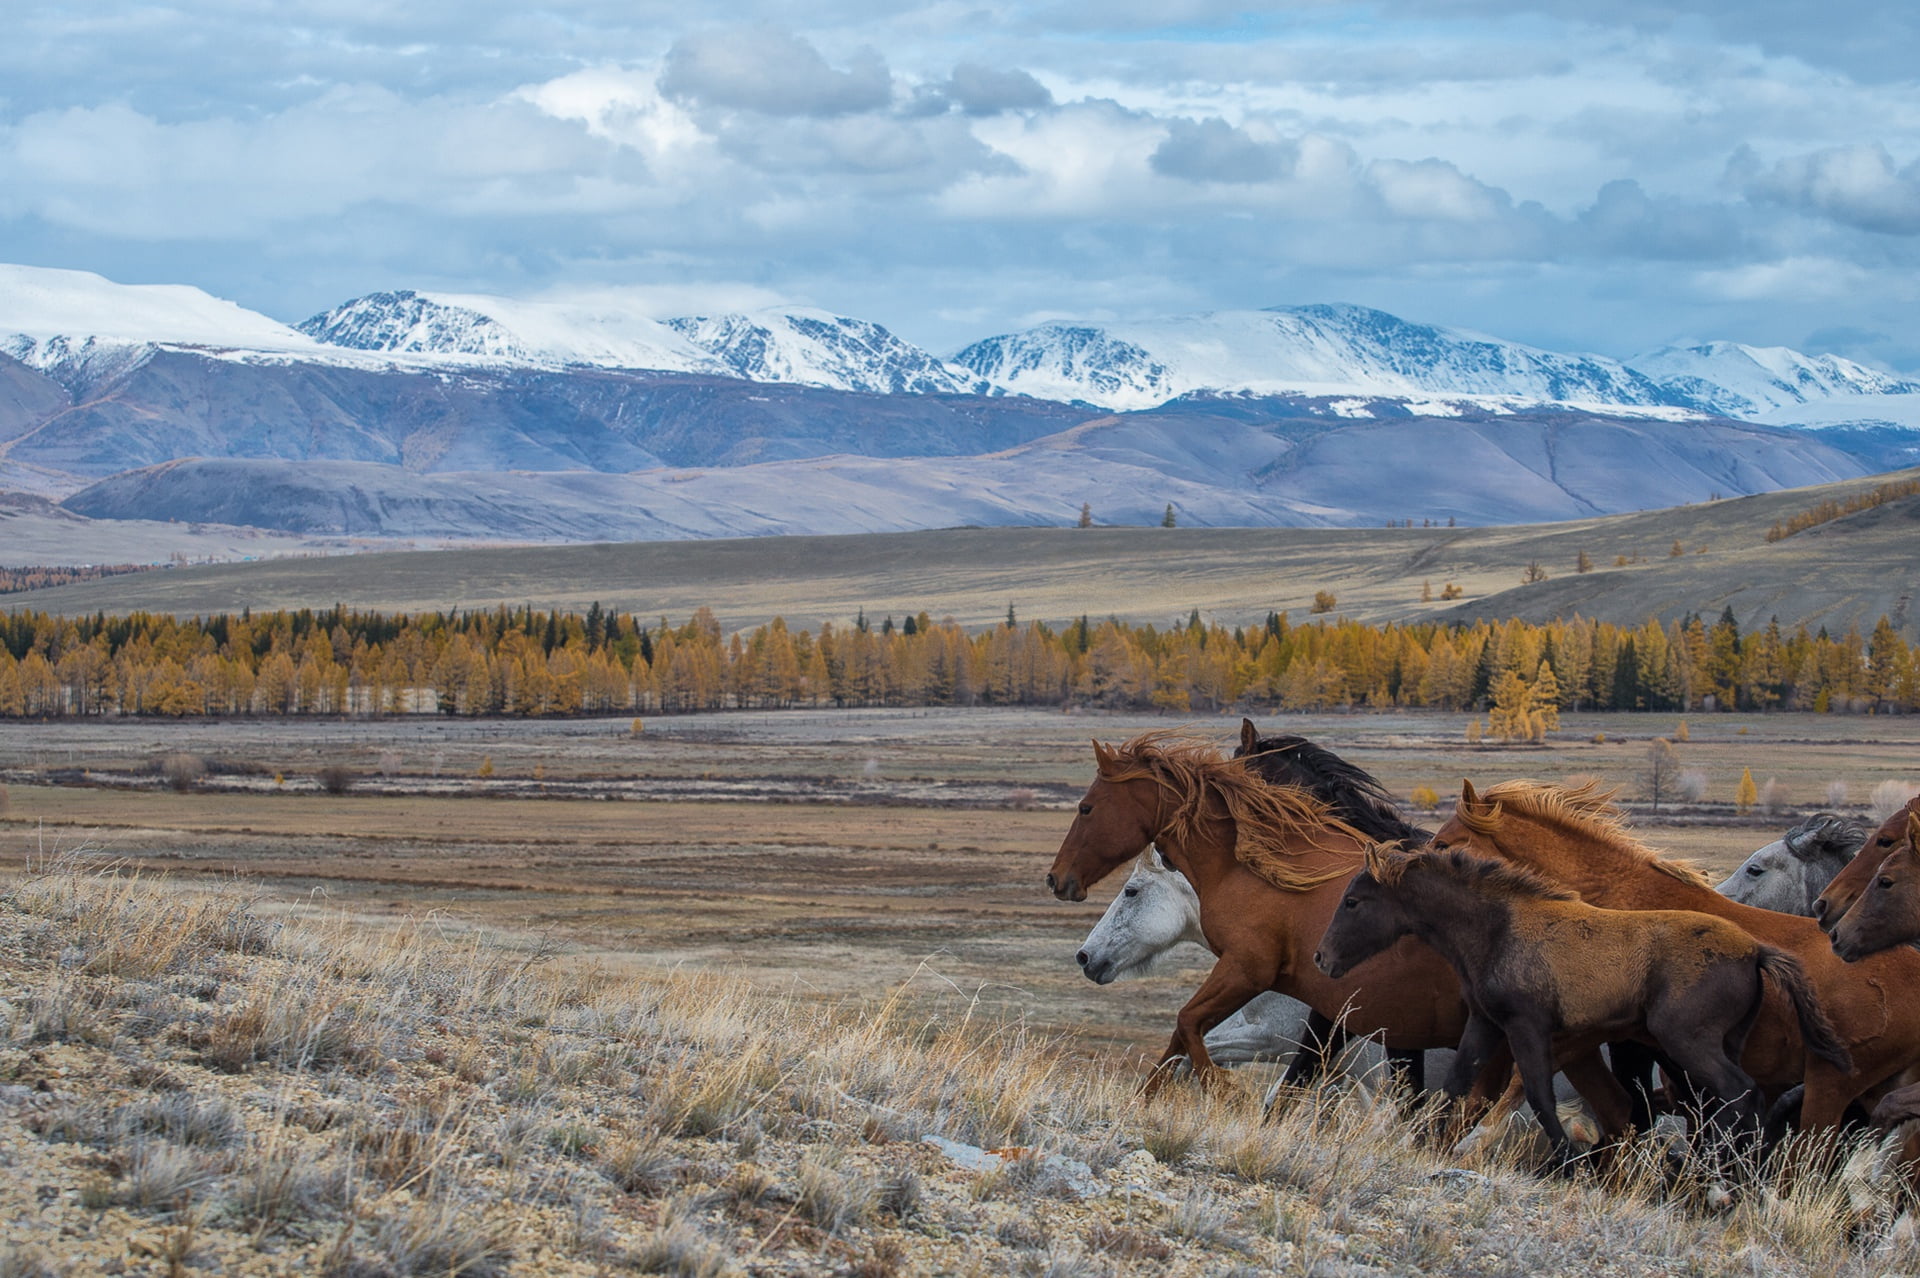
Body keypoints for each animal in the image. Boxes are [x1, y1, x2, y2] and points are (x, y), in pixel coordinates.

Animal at [1045, 733, 1633, 1131]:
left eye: (1131, 891)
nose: (1084, 957)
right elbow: (1188, 1048)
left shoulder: (1282, 1011)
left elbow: (1209, 1045)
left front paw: (1225, 1097)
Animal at [1315, 845, 1848, 1172]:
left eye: (1354, 901)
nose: (1322, 958)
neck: (1500, 928)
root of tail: (1755, 950)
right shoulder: (1487, 1023)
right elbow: (1457, 1084)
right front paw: (1423, 1145)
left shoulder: (1527, 1025)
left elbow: (1536, 1093)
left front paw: (1567, 1163)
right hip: (1723, 1042)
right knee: (1728, 1104)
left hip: (1686, 1040)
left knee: (1741, 1095)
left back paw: (1722, 1181)